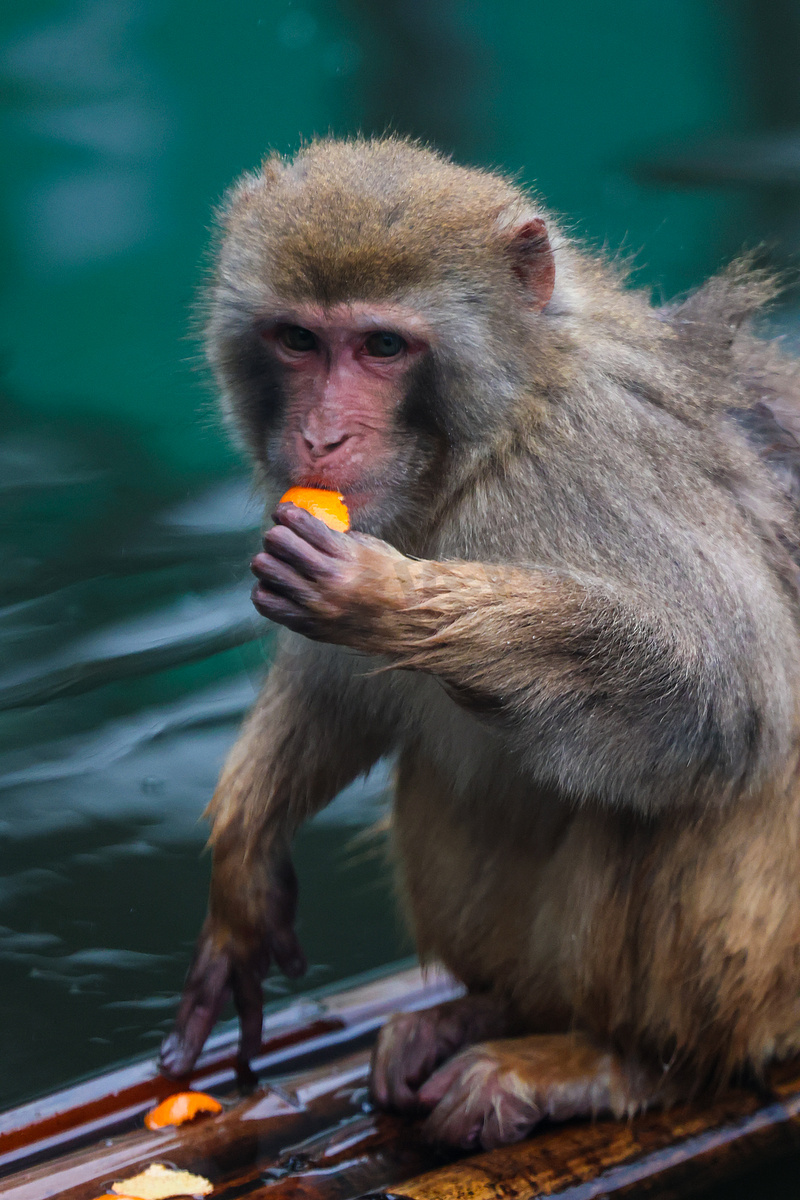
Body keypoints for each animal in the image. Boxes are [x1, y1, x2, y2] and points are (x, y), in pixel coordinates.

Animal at [158, 136, 800, 1147]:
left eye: (382, 346)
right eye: (299, 340)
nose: (320, 436)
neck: (490, 438)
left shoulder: (598, 463)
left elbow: (729, 697)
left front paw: (388, 599)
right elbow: (342, 694)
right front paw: (243, 862)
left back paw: (621, 1061)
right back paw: (493, 1009)